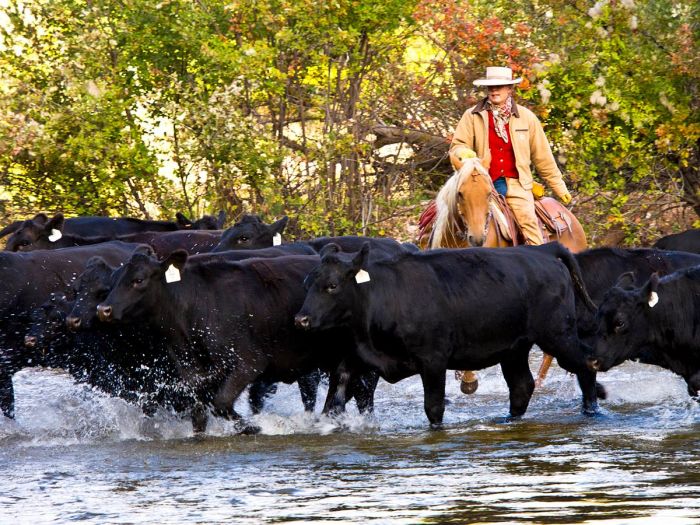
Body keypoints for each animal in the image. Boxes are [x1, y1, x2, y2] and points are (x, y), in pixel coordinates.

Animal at [294, 242, 596, 430]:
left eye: (332, 285)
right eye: (308, 283)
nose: (301, 319)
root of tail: (543, 250)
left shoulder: (433, 361)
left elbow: (434, 407)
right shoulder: (359, 358)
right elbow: (335, 398)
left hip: (558, 335)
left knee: (586, 366)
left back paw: (592, 413)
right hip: (515, 349)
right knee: (522, 386)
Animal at [418, 158, 588, 390]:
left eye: (488, 193)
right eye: (460, 193)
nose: (477, 238)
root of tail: (568, 216)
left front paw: (469, 379)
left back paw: (539, 383)